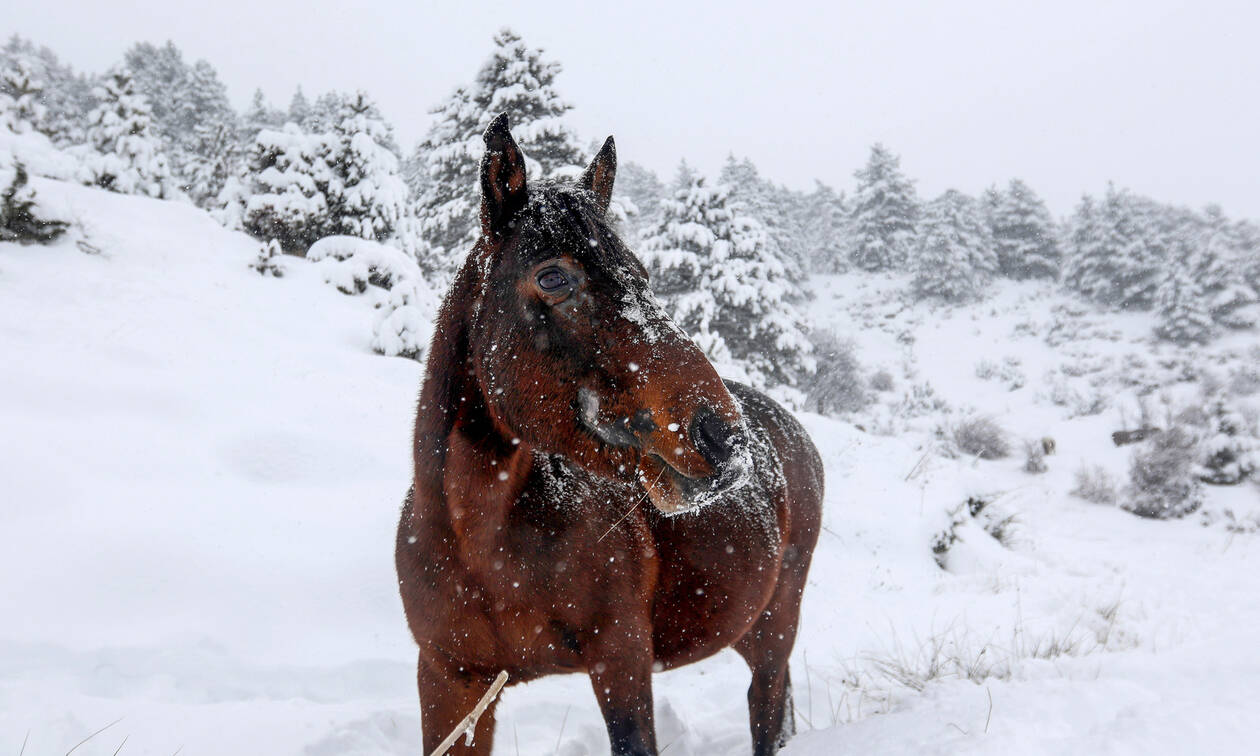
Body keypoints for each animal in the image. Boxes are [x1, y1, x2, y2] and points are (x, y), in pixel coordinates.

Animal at [395, 113, 826, 756]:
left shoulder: (621, 660)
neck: (482, 543)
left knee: (767, 707)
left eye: (643, 277)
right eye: (552, 277)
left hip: (775, 627)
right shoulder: (451, 679)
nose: (725, 439)